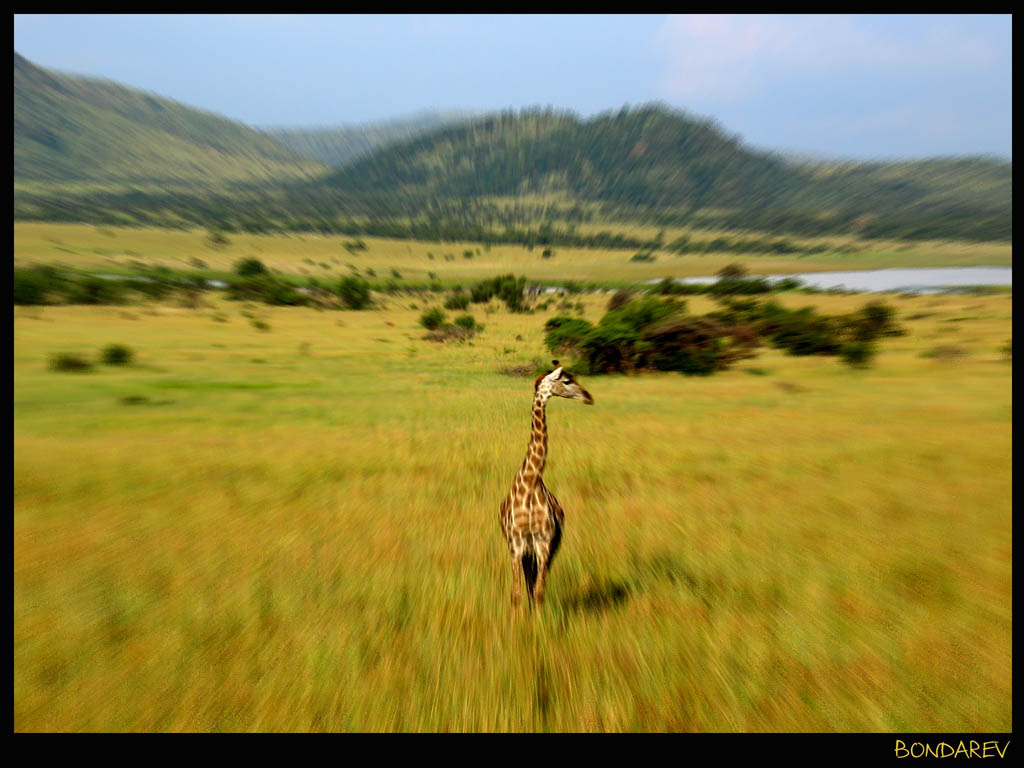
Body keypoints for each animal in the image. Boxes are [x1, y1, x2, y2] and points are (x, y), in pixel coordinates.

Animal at [500, 360, 593, 608]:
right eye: (567, 380)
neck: (531, 482)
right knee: (528, 584)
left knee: (535, 585)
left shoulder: (544, 543)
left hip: (552, 547)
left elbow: (539, 592)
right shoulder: (516, 545)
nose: (589, 397)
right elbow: (516, 595)